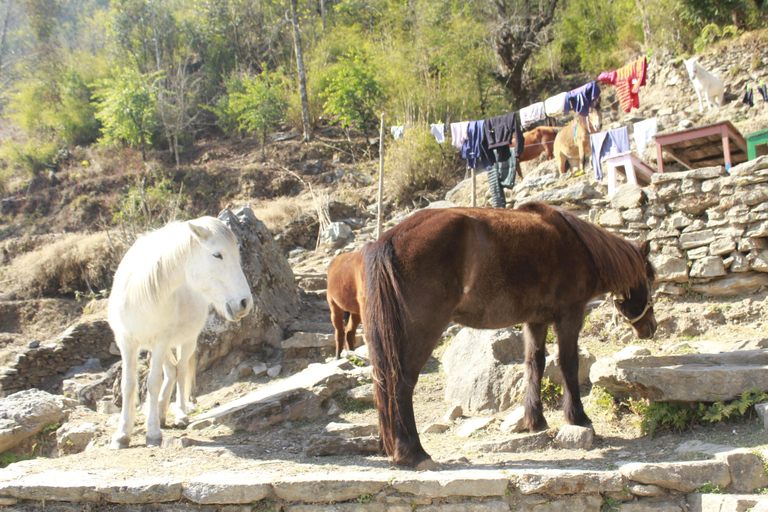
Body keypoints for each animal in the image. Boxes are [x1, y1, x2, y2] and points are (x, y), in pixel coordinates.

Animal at [109, 216, 252, 448]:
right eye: (217, 255)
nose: (244, 303)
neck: (142, 293)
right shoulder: (127, 343)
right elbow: (128, 385)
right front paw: (122, 434)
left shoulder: (160, 342)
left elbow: (153, 383)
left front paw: (152, 433)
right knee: (172, 371)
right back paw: (161, 413)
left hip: (186, 342)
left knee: (182, 370)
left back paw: (180, 415)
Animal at [364, 202, 656, 470]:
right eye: (650, 278)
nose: (650, 327)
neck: (579, 245)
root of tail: (390, 239)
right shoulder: (570, 316)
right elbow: (568, 365)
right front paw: (578, 417)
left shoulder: (536, 321)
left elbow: (534, 365)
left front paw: (535, 420)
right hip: (423, 332)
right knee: (401, 384)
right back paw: (413, 453)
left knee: (385, 383)